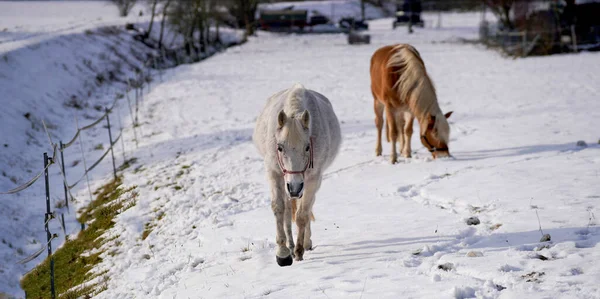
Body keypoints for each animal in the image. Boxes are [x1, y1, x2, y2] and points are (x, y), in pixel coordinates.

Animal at [253, 84, 342, 268]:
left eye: (307, 147)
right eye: (280, 147)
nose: (294, 187)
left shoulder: (312, 179)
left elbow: (302, 214)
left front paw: (299, 251)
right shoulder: (274, 173)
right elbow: (279, 208)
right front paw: (283, 253)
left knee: (306, 209)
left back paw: (304, 244)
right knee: (288, 210)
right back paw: (290, 245)